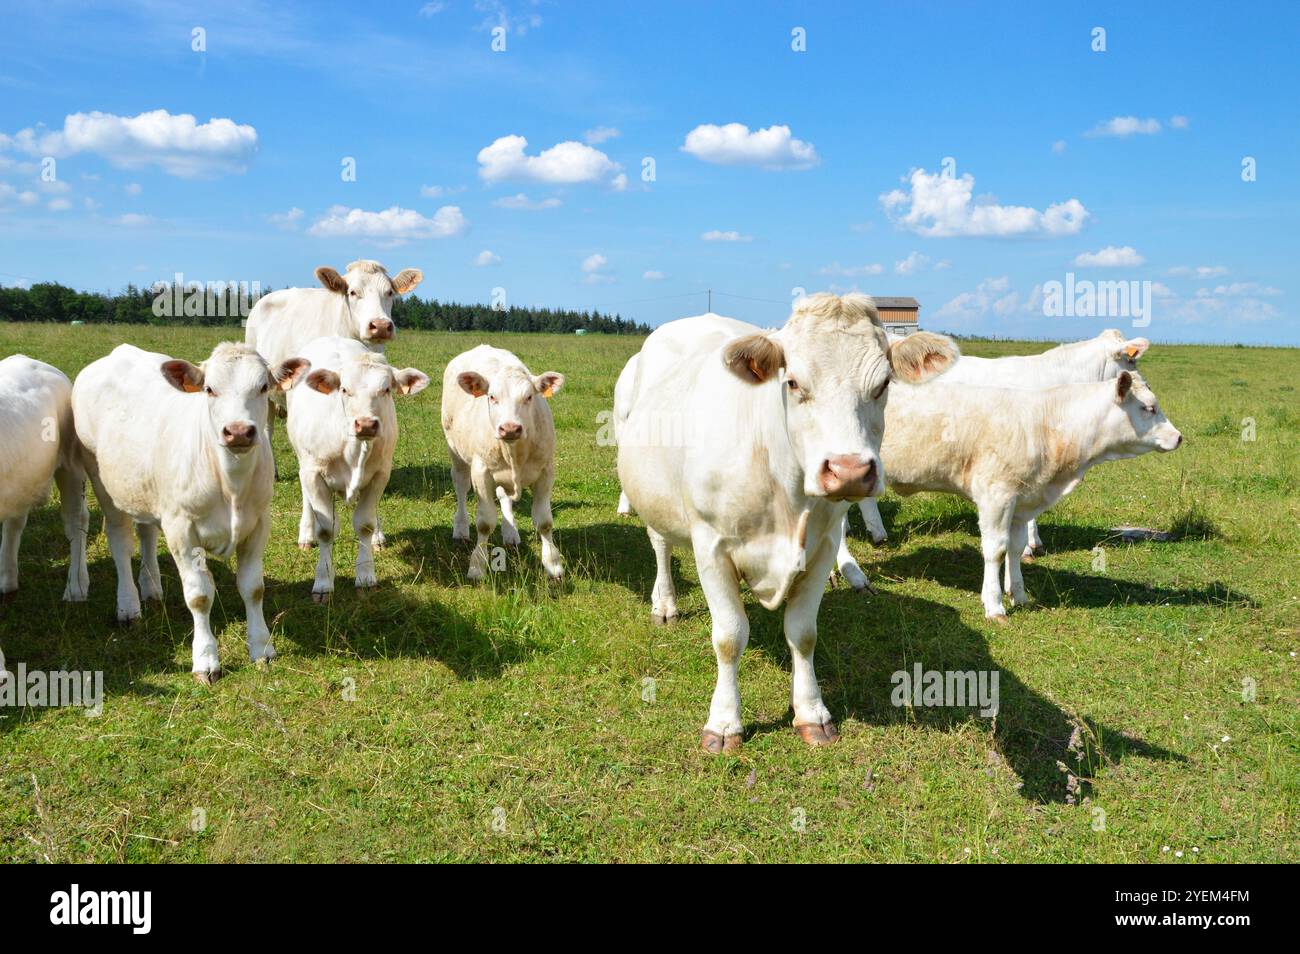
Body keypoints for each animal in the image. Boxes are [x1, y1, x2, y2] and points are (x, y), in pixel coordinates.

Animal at [72, 343, 309, 682]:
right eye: (209, 389)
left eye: (263, 387)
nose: (239, 431)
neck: (230, 483)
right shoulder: (182, 530)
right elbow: (199, 595)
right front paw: (206, 659)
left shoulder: (259, 524)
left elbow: (253, 588)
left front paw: (262, 648)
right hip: (99, 475)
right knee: (120, 540)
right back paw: (128, 605)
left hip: (145, 488)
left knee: (146, 531)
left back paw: (151, 588)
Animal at [285, 337, 429, 602]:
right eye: (344, 389)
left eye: (386, 389)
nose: (366, 424)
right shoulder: (314, 474)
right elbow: (326, 530)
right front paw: (323, 581)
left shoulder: (380, 474)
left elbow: (365, 524)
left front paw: (365, 575)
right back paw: (306, 534)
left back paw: (378, 538)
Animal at [441, 345, 566, 582]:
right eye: (492, 396)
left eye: (529, 397)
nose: (509, 428)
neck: (515, 452)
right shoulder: (481, 472)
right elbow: (485, 523)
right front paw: (477, 566)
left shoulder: (546, 472)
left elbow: (544, 521)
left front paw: (553, 565)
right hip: (456, 452)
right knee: (460, 485)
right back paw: (460, 527)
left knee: (504, 496)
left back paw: (510, 532)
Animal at [617, 294, 959, 753]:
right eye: (793, 382)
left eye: (883, 384)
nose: (849, 471)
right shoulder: (711, 545)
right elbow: (728, 637)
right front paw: (723, 722)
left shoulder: (822, 547)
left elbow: (803, 632)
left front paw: (811, 712)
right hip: (652, 493)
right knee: (660, 545)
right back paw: (665, 603)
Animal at [836, 371, 1181, 621]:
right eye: (1148, 408)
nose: (1179, 437)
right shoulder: (996, 495)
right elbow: (996, 550)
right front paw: (994, 604)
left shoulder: (1023, 500)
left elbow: (1015, 548)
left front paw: (1019, 593)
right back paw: (853, 574)